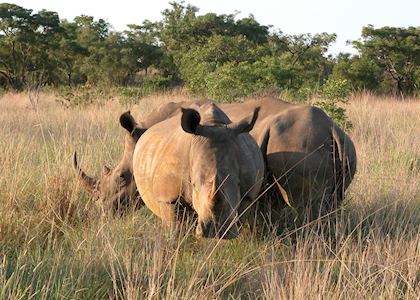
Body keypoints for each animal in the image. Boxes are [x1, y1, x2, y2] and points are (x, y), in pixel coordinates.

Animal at [123, 103, 264, 239]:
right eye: (193, 184)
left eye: (238, 184)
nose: (215, 230)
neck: (214, 124)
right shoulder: (168, 197)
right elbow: (174, 229)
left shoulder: (248, 195)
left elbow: (238, 220)